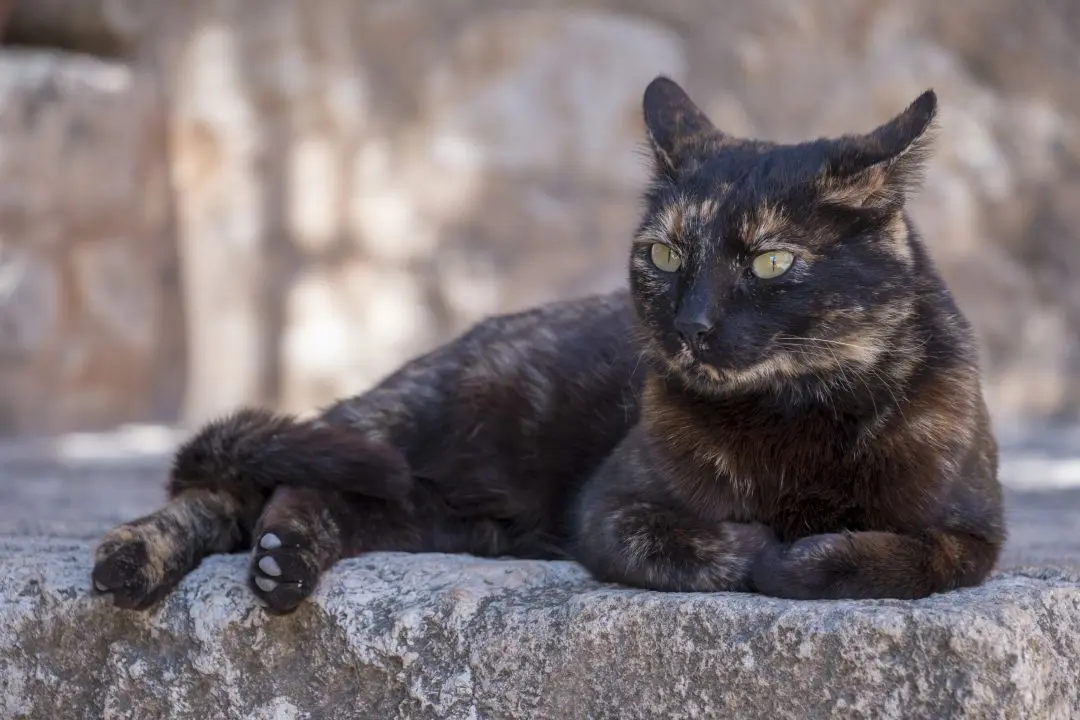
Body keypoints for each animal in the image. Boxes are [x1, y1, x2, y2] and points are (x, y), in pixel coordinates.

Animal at [90, 76, 1002, 613]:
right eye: (664, 255)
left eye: (772, 262)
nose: (691, 324)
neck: (798, 417)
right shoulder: (611, 504)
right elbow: (689, 543)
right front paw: (756, 546)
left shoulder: (976, 532)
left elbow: (908, 559)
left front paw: (803, 554)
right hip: (401, 426)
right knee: (235, 485)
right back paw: (135, 561)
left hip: (435, 511)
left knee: (304, 497)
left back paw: (283, 563)